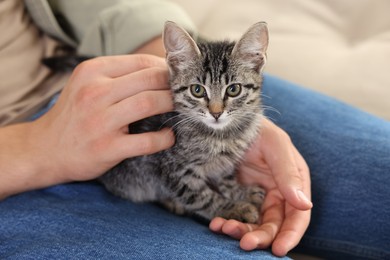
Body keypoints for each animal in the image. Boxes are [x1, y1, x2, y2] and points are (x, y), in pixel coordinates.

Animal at [100, 21, 268, 223]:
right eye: (197, 90)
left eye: (234, 89)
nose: (216, 113)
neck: (222, 136)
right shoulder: (174, 170)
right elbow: (203, 198)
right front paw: (234, 209)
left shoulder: (225, 162)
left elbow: (225, 178)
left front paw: (240, 192)